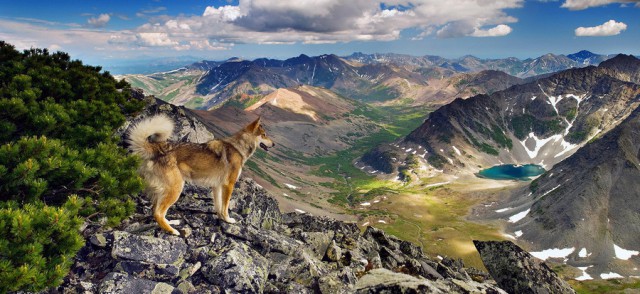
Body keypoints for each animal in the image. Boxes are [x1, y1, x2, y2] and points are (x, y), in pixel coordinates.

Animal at [126, 116, 274, 235]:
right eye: (264, 135)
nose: (273, 144)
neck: (238, 147)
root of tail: (156, 148)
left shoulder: (217, 186)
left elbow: (219, 206)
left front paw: (221, 218)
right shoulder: (229, 184)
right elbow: (225, 206)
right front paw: (228, 220)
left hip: (164, 191)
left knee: (156, 210)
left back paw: (171, 223)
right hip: (176, 188)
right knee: (158, 213)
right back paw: (172, 231)